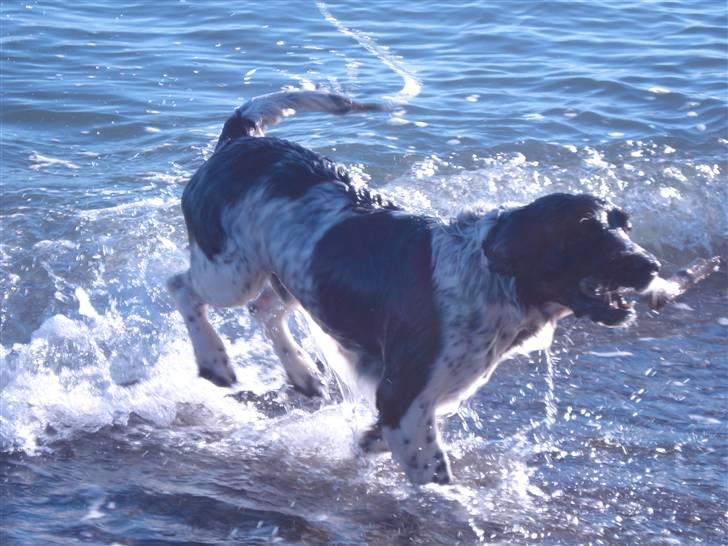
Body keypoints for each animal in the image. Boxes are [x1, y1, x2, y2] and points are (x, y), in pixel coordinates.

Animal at [168, 90, 664, 484]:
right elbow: (437, 477)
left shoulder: (416, 403)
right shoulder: (404, 398)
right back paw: (215, 359)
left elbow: (376, 440)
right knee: (182, 287)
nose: (651, 265)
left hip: (294, 275)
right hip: (232, 272)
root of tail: (241, 140)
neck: (494, 278)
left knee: (265, 309)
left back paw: (303, 374)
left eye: (625, 225)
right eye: (586, 231)